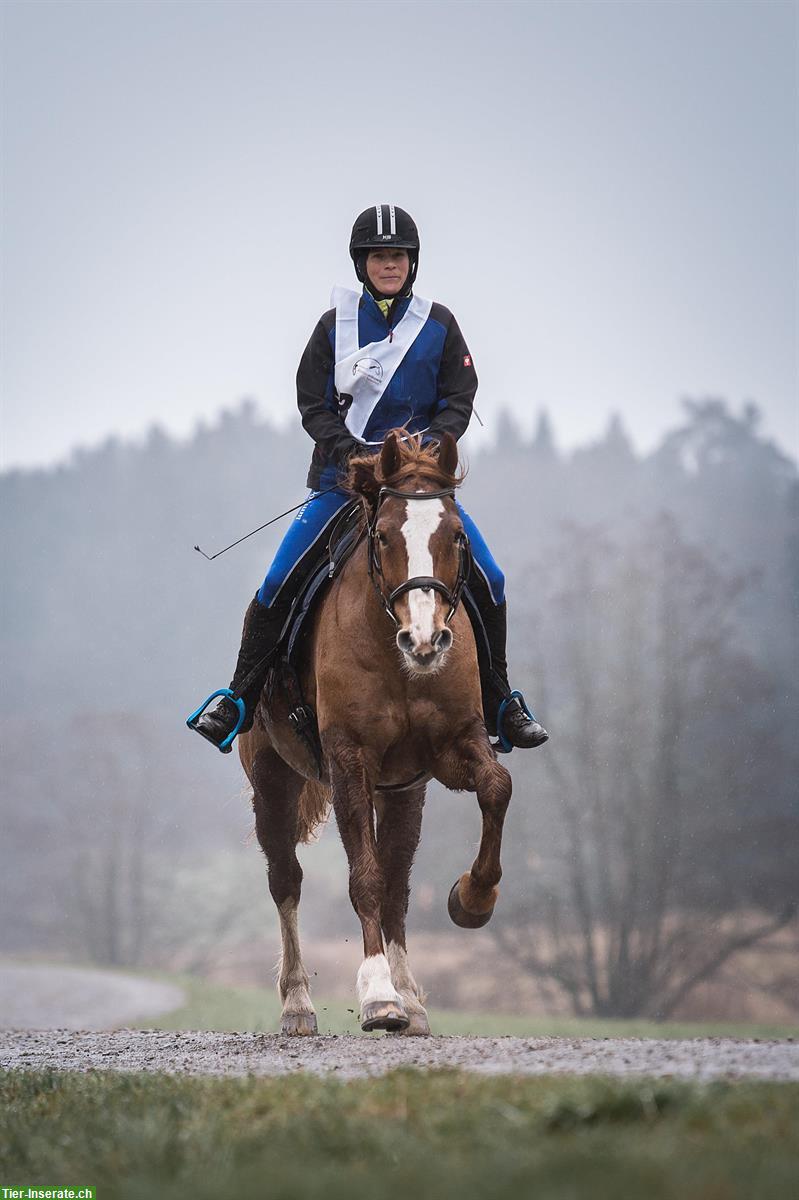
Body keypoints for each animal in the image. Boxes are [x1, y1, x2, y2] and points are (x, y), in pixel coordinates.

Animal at [236, 429, 511, 1032]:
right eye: (383, 536)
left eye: (457, 537)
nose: (425, 639)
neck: (397, 658)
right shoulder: (349, 761)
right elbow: (363, 875)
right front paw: (378, 996)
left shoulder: (451, 749)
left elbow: (496, 787)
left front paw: (472, 899)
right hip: (271, 779)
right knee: (285, 878)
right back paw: (298, 1003)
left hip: (405, 791)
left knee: (399, 885)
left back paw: (412, 998)